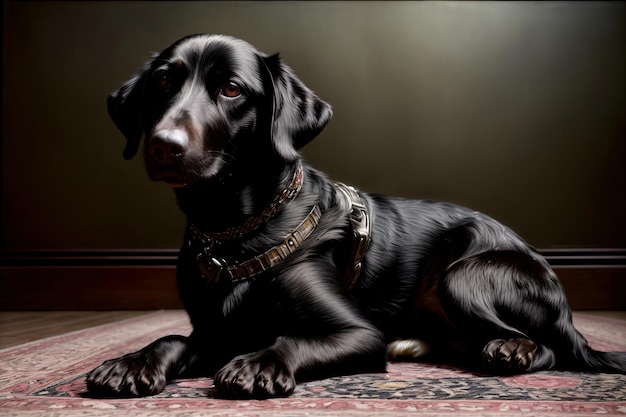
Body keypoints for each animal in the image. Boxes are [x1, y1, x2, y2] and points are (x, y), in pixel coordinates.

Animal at [85, 34, 620, 398]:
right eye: (164, 81)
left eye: (232, 89)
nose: (164, 145)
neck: (235, 230)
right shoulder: (217, 330)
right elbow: (173, 336)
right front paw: (132, 362)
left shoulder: (360, 335)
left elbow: (291, 337)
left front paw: (260, 364)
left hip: (467, 274)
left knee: (550, 349)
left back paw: (511, 350)